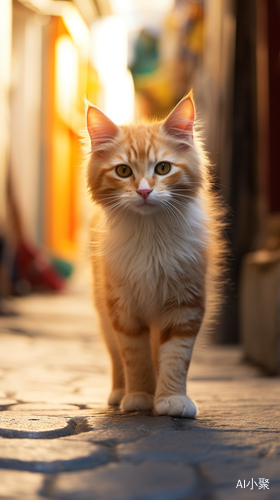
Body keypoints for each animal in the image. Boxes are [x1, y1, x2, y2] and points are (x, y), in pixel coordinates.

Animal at [85, 93, 223, 418]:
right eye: (123, 171)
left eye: (162, 168)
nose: (144, 192)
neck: (151, 237)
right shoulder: (123, 309)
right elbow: (135, 357)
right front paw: (139, 396)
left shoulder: (186, 304)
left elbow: (174, 358)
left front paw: (170, 398)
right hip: (104, 313)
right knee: (116, 357)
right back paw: (119, 393)